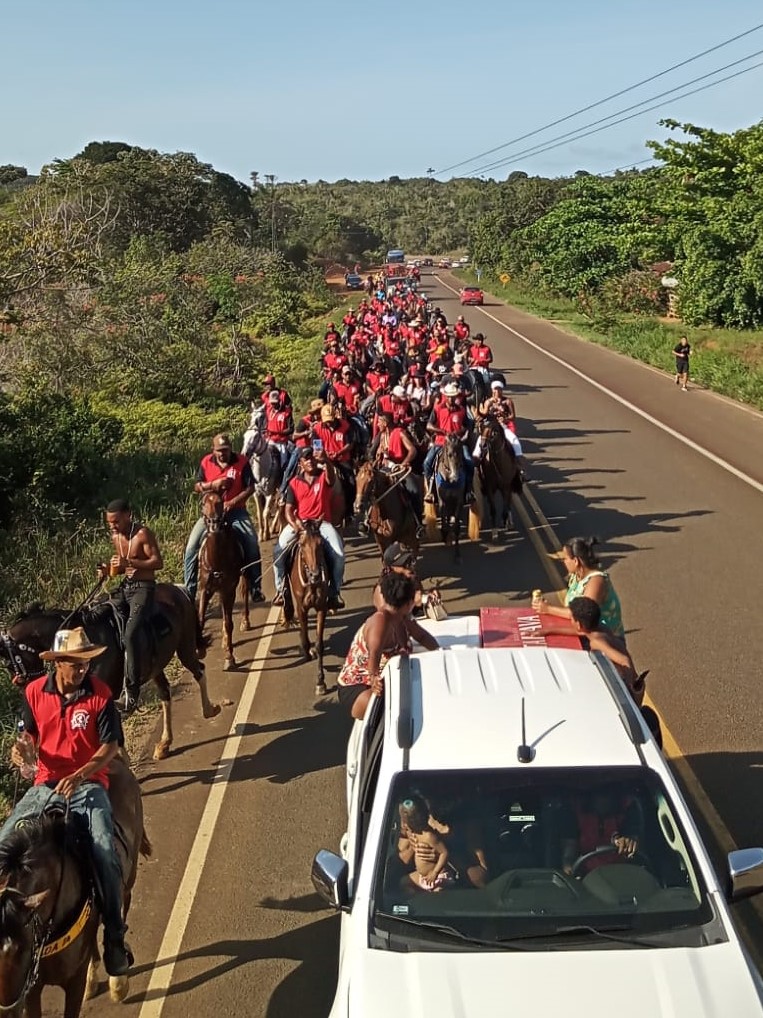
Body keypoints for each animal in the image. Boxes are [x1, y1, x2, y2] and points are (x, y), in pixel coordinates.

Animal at [0, 586, 220, 761]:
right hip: (156, 666)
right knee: (165, 693)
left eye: (10, 663)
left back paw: (209, 709)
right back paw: (164, 744)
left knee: (199, 670)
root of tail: (179, 590)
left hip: (185, 647)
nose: (24, 683)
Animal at [197, 490, 251, 671]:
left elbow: (229, 623)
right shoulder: (205, 589)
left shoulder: (229, 590)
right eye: (203, 503)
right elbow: (200, 619)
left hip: (243, 576)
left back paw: (245, 622)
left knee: (245, 593)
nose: (214, 524)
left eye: (220, 502)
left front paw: (229, 657)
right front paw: (200, 649)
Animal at [280, 521, 329, 696]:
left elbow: (319, 644)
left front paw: (320, 682)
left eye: (321, 544)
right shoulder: (302, 608)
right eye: (302, 544)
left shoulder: (322, 607)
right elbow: (306, 639)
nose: (316, 575)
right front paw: (306, 652)